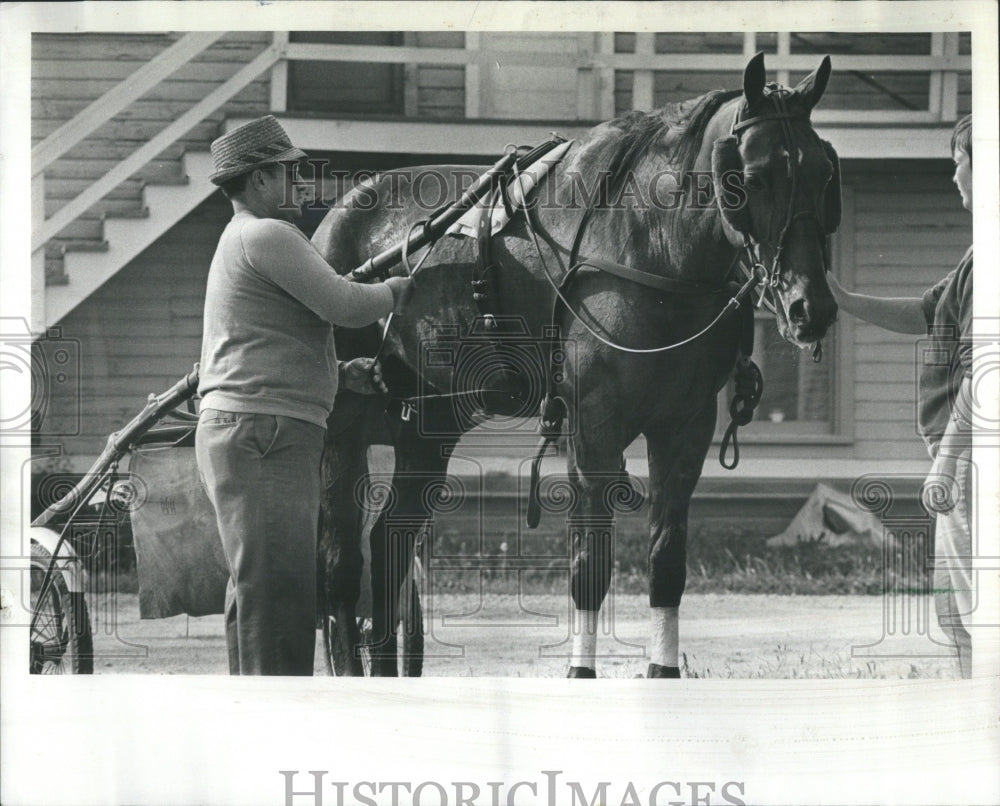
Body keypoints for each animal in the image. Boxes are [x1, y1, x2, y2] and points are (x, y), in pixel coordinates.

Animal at [314, 53, 844, 680]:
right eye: (751, 178)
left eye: (825, 174)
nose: (811, 307)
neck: (654, 243)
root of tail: (332, 224)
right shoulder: (593, 429)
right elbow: (589, 567)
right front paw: (580, 673)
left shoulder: (685, 429)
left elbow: (667, 562)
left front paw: (663, 673)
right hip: (343, 423)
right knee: (342, 565)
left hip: (428, 428)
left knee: (388, 545)